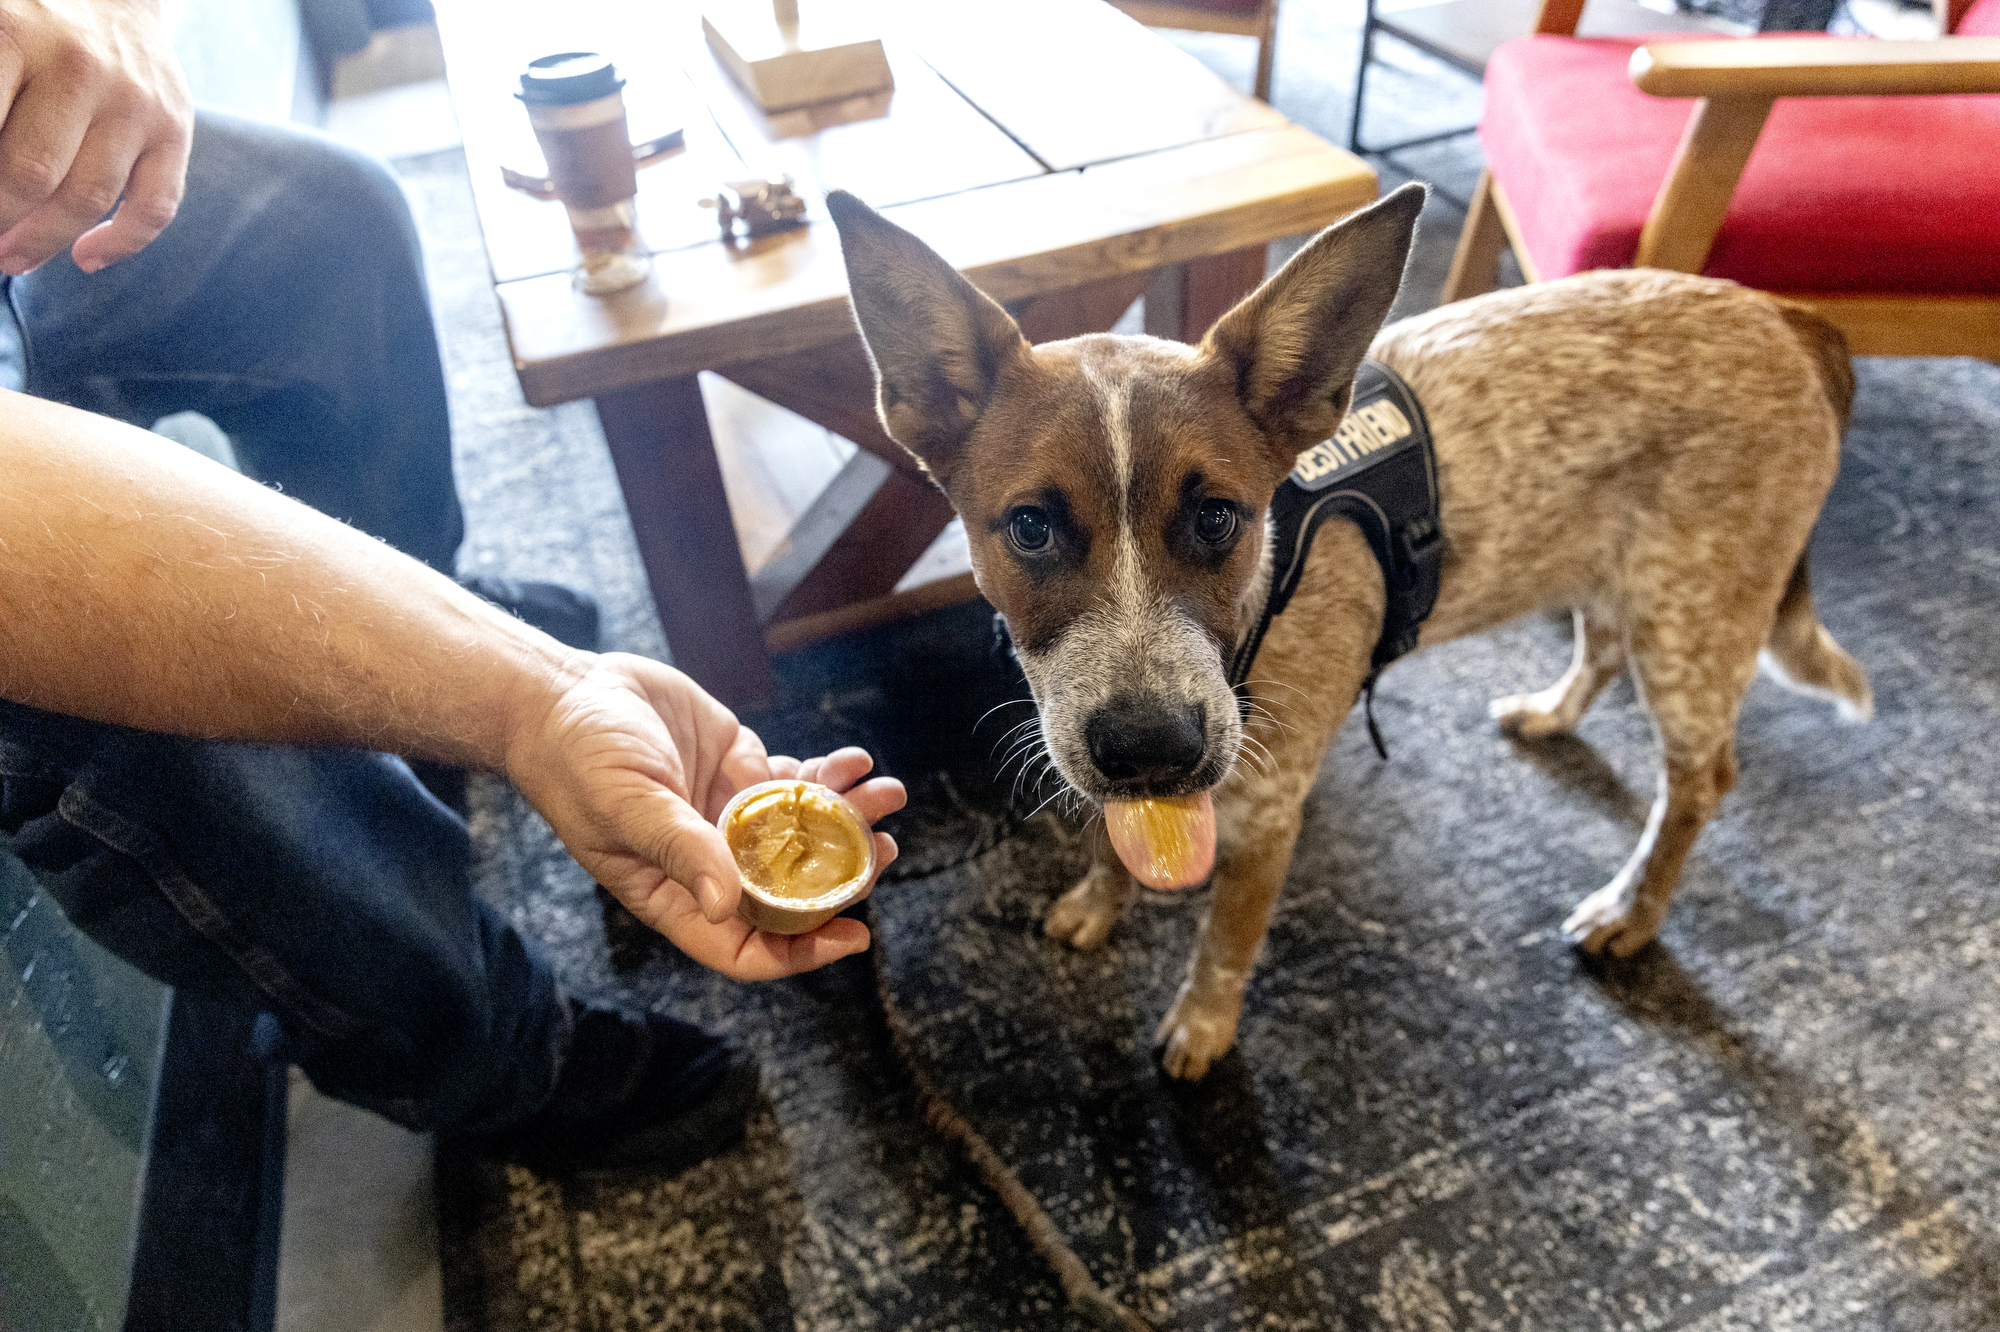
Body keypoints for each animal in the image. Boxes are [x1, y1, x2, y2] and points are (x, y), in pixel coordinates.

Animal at [824, 184, 1856, 1080]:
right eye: (1031, 528)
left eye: (1219, 518)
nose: (1154, 746)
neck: (1266, 597)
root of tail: (1789, 318)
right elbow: (1114, 844)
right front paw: (1096, 901)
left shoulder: (1269, 813)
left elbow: (1224, 942)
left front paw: (1203, 1030)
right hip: (1619, 583)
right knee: (1598, 649)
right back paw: (1552, 714)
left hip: (1689, 625)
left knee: (1701, 782)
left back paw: (1631, 913)